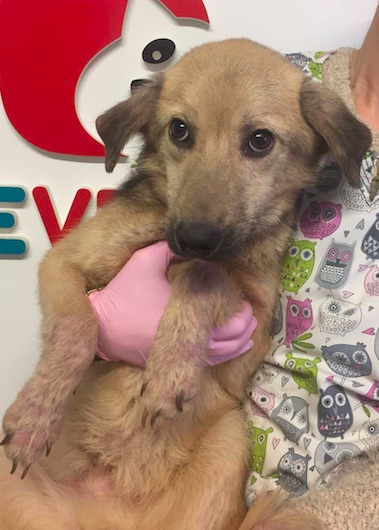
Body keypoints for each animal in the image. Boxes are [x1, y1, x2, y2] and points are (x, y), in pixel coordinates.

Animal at [0, 41, 372, 528]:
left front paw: (169, 369)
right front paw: (35, 415)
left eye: (260, 140)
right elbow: (77, 327)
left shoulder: (250, 328)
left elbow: (204, 274)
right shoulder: (63, 263)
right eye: (179, 130)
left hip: (230, 439)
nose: (194, 237)